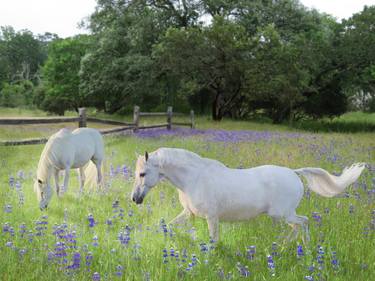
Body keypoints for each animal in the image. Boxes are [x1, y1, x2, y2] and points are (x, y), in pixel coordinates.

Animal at [131, 147, 366, 241]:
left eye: (143, 173)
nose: (135, 199)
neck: (193, 179)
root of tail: (294, 172)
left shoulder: (211, 217)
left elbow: (213, 240)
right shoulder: (188, 214)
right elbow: (167, 226)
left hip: (282, 214)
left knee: (304, 222)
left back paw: (296, 246)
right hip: (284, 215)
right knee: (298, 226)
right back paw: (286, 246)